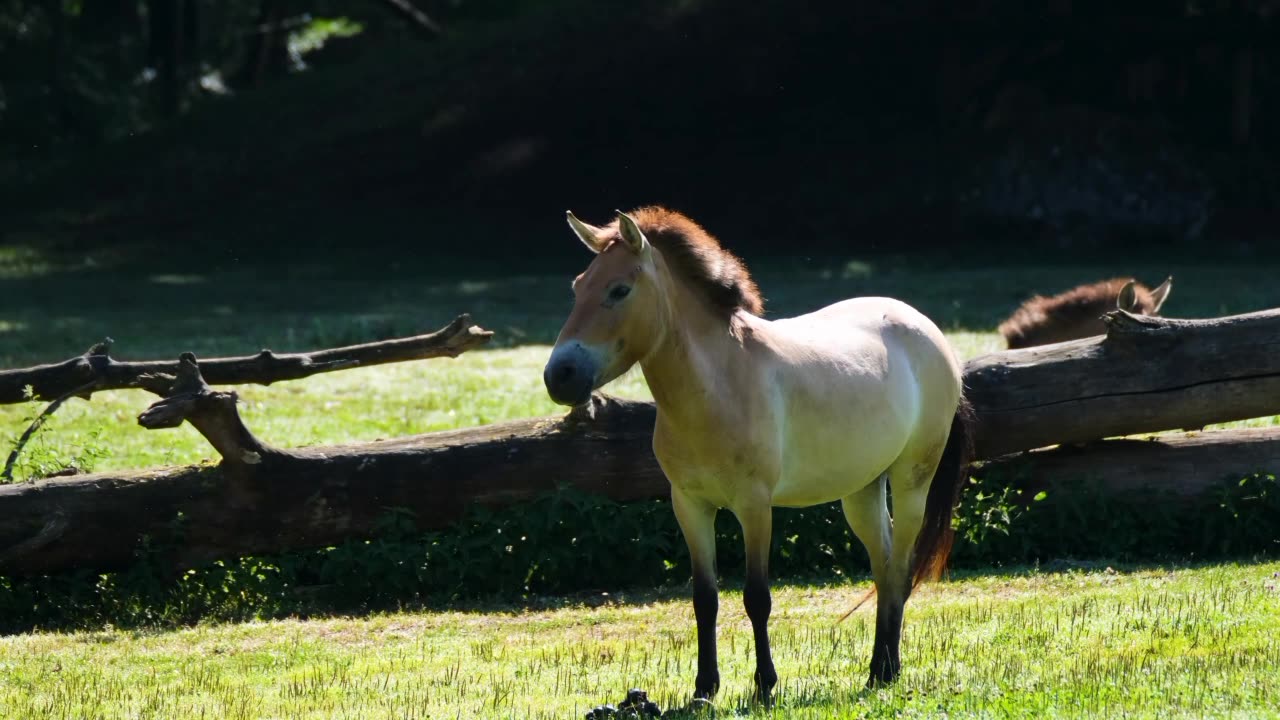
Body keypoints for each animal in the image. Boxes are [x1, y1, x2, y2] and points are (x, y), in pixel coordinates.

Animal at [540, 204, 967, 696]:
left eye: (619, 289)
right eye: (578, 286)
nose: (559, 376)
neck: (720, 383)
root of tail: (927, 329)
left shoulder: (755, 506)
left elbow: (756, 597)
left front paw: (765, 685)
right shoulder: (690, 506)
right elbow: (704, 599)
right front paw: (704, 687)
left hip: (912, 479)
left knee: (899, 565)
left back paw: (888, 669)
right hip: (861, 489)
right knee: (883, 566)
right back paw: (878, 667)